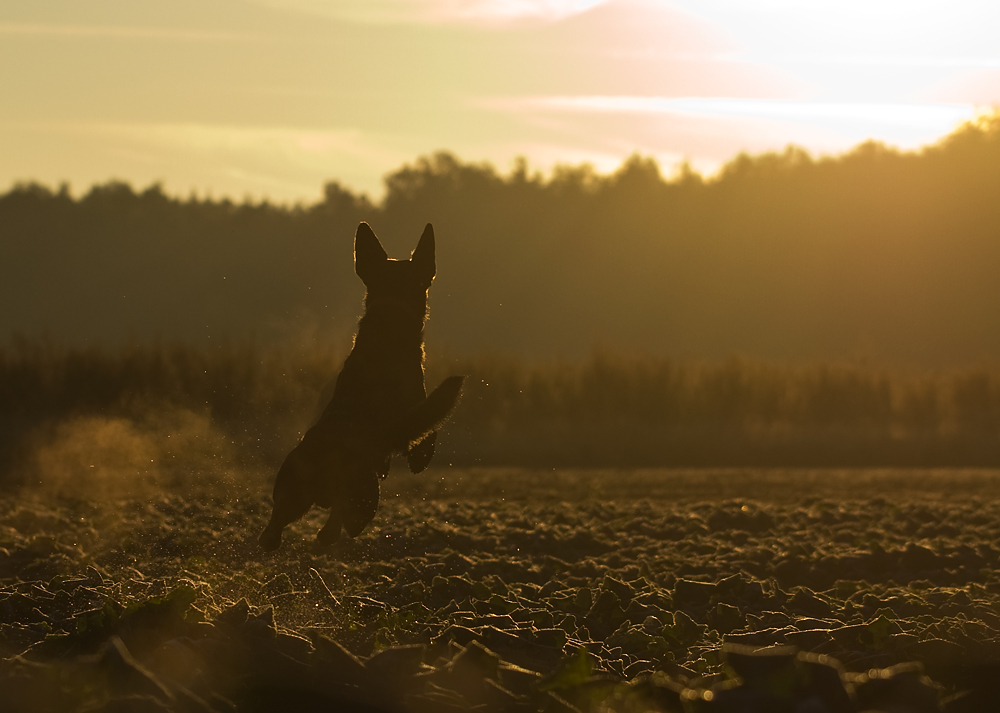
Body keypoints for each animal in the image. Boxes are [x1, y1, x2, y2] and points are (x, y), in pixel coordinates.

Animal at [256, 222, 462, 552]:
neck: (390, 316)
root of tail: (329, 455)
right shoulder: (417, 402)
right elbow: (428, 432)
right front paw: (420, 458)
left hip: (292, 492)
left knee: (276, 528)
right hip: (363, 502)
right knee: (335, 527)